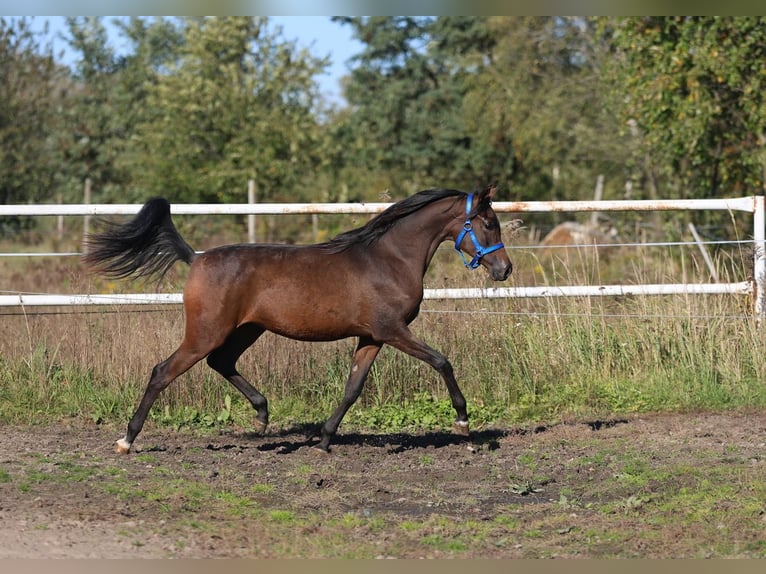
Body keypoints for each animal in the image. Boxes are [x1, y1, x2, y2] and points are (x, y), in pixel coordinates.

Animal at [82, 186, 516, 454]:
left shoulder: (371, 337)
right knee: (163, 371)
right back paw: (127, 440)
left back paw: (262, 415)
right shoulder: (394, 330)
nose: (504, 269)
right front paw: (463, 423)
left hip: (246, 330)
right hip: (206, 332)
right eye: (488, 223)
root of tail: (196, 258)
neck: (389, 259)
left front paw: (324, 441)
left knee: (221, 362)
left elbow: (352, 389)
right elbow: (442, 361)